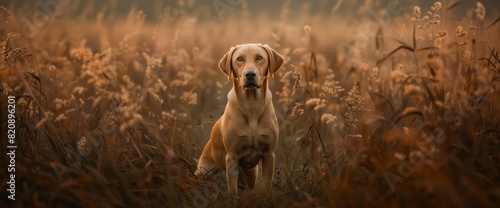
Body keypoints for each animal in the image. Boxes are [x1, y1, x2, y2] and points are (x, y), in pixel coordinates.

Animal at [195, 43, 284, 196]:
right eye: (239, 59)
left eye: (259, 57)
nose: (250, 74)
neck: (252, 107)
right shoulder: (232, 157)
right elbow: (232, 189)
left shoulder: (269, 155)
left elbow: (267, 185)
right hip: (203, 171)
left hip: (252, 173)